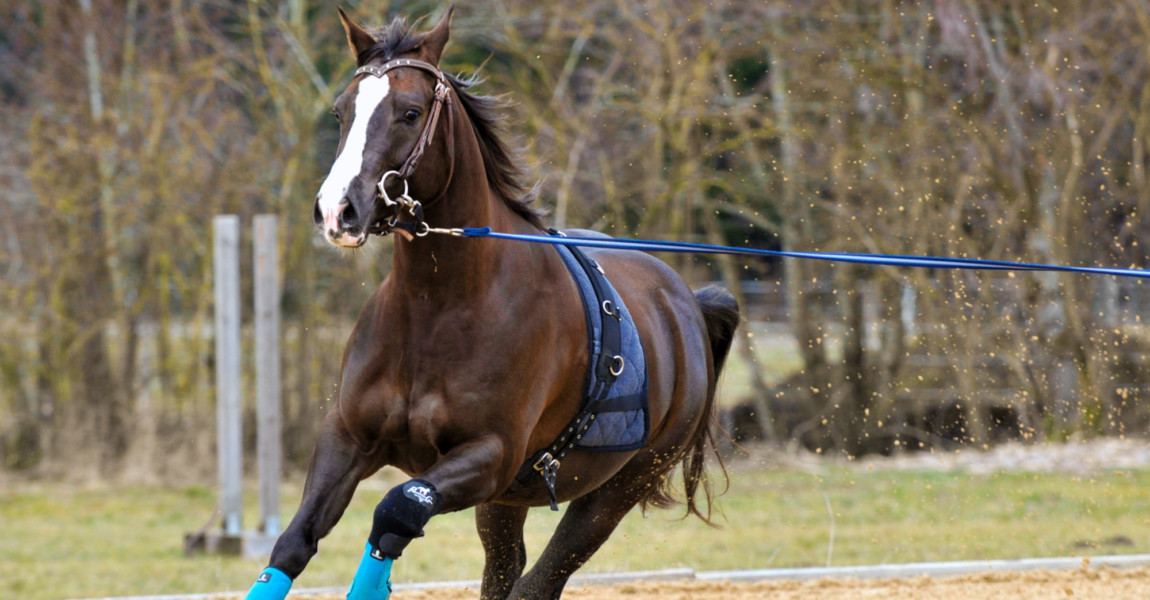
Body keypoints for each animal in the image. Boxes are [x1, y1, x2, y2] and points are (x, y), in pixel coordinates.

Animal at [247, 5, 740, 597]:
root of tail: (685, 301)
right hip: (507, 504)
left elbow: (397, 510)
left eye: (410, 112)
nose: (337, 210)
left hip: (612, 494)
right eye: (341, 111)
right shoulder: (347, 440)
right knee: (508, 568)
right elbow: (294, 541)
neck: (439, 308)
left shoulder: (488, 457)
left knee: (538, 580)